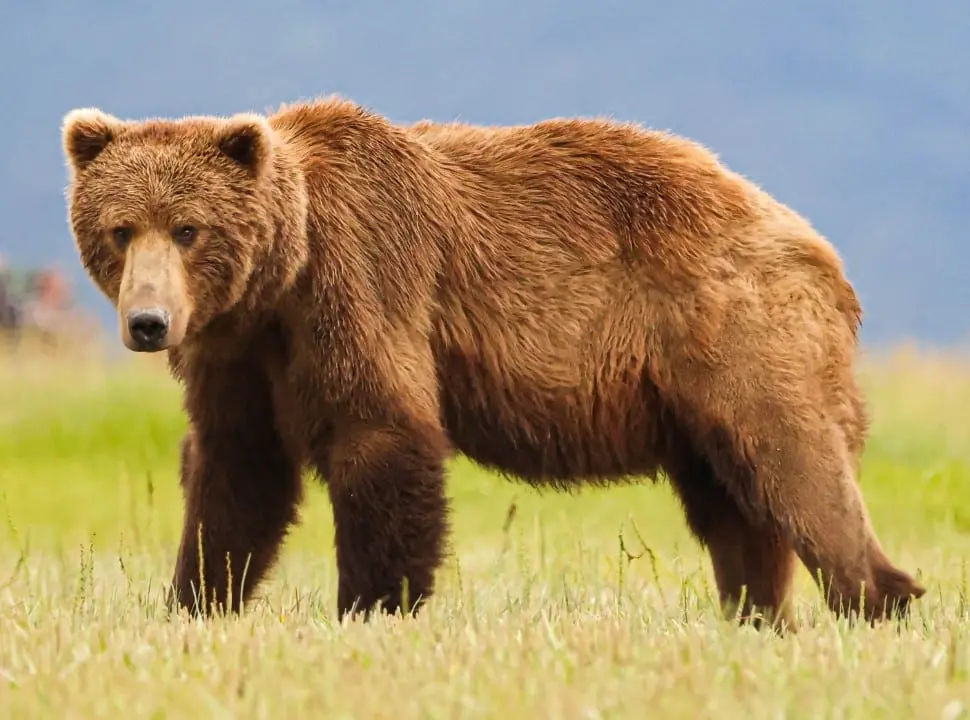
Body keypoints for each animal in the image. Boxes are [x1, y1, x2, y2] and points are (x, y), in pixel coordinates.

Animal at [60, 95, 925, 630]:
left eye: (189, 229)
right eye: (119, 229)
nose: (148, 323)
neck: (281, 275)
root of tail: (818, 247)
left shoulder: (361, 287)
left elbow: (382, 434)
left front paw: (374, 605)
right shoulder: (241, 353)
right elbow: (237, 474)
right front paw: (195, 600)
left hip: (738, 333)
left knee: (795, 467)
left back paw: (881, 599)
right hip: (694, 397)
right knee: (737, 508)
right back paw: (758, 614)